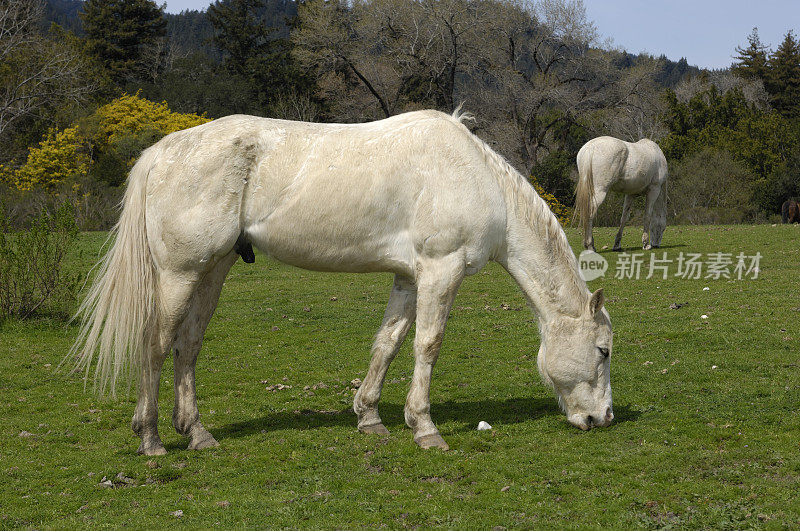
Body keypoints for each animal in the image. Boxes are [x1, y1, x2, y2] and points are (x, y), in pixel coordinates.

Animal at [70, 109, 620, 458]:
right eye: (603, 351)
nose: (603, 419)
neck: (478, 180)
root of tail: (163, 151)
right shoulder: (440, 270)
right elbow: (427, 344)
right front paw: (426, 429)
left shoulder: (408, 277)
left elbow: (388, 343)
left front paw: (370, 417)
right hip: (179, 274)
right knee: (156, 345)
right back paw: (151, 440)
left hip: (214, 270)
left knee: (188, 346)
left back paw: (198, 433)